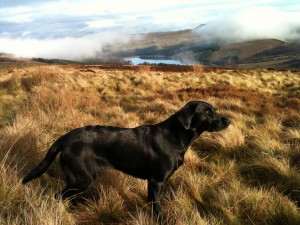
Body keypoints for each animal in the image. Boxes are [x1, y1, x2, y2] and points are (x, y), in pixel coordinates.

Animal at [22, 101, 231, 218]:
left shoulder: (152, 183)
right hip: (81, 178)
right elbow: (158, 209)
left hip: (77, 179)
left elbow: (152, 205)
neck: (175, 136)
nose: (229, 121)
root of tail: (67, 137)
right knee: (58, 196)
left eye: (215, 110)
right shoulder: (157, 181)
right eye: (208, 113)